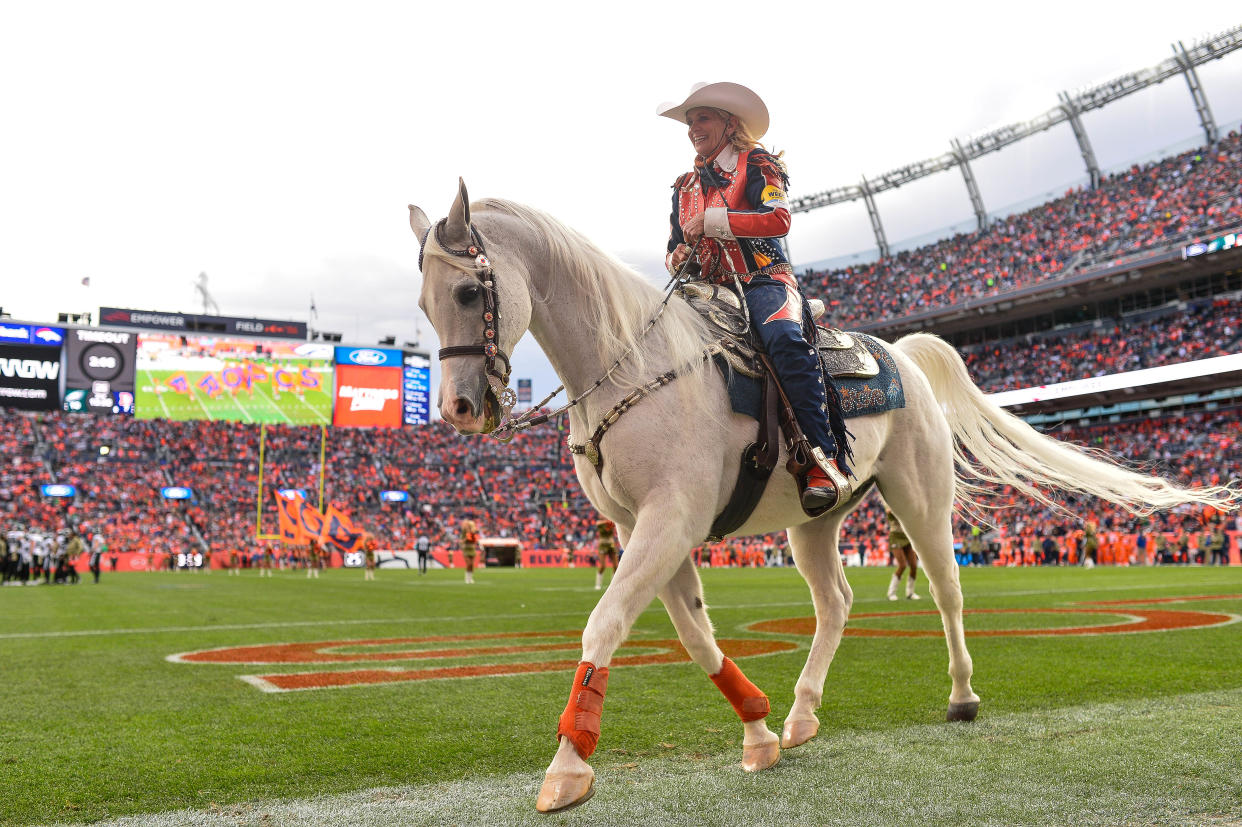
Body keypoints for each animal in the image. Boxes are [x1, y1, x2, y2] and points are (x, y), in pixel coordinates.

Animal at [409, 182, 1242, 809]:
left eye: (467, 288)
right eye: (421, 305)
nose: (459, 409)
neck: (635, 363)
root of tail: (901, 354)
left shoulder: (669, 518)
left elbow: (605, 623)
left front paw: (568, 769)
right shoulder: (651, 526)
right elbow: (697, 636)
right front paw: (758, 731)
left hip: (920, 499)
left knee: (948, 591)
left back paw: (962, 693)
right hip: (814, 523)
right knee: (837, 600)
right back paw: (804, 711)